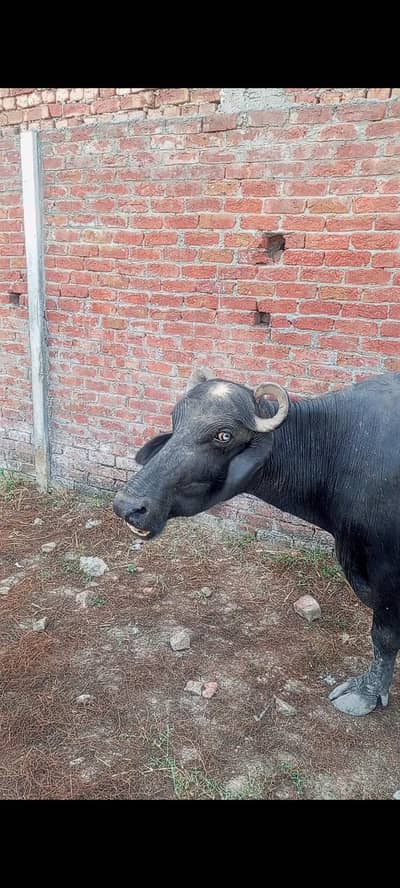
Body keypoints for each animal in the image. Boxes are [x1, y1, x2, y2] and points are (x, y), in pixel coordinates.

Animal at [113, 369, 400, 718]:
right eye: (176, 420)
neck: (337, 449)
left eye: (224, 435)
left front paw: (366, 692)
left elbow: (384, 636)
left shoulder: (388, 573)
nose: (129, 505)